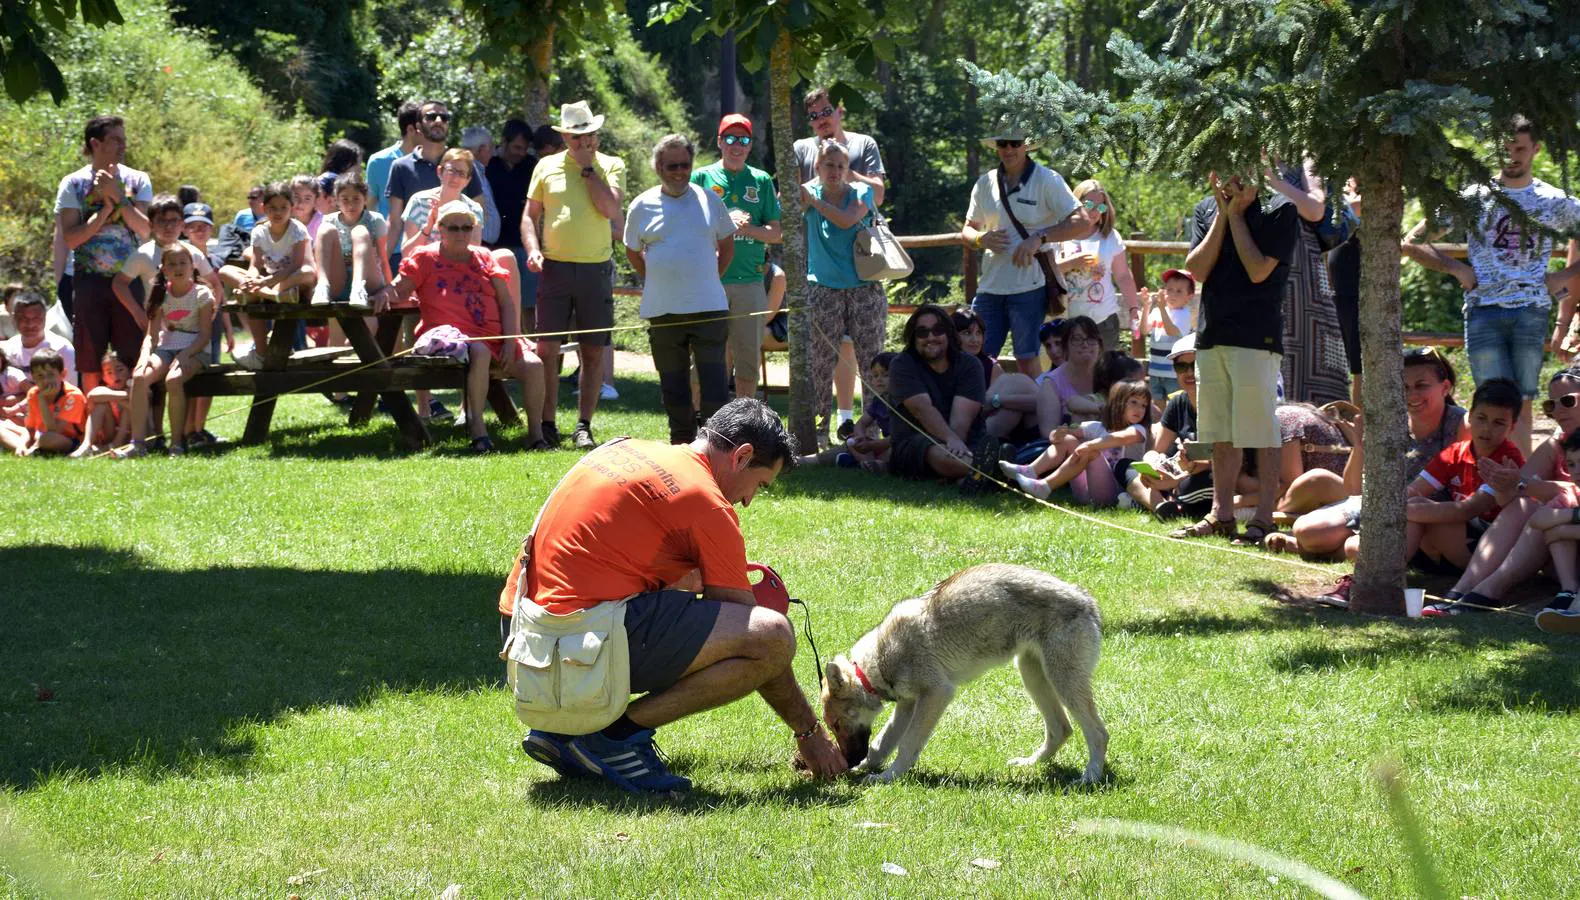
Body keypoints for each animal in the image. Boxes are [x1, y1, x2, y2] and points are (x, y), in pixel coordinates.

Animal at [821, 565, 1106, 780]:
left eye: (836, 724)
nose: (847, 763)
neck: (877, 662)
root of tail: (1086, 600)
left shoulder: (937, 694)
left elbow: (907, 744)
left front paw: (889, 777)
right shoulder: (907, 705)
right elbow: (882, 744)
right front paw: (869, 770)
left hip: (1063, 684)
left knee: (1098, 733)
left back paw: (1090, 777)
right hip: (1033, 677)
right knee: (1061, 729)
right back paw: (1030, 764)